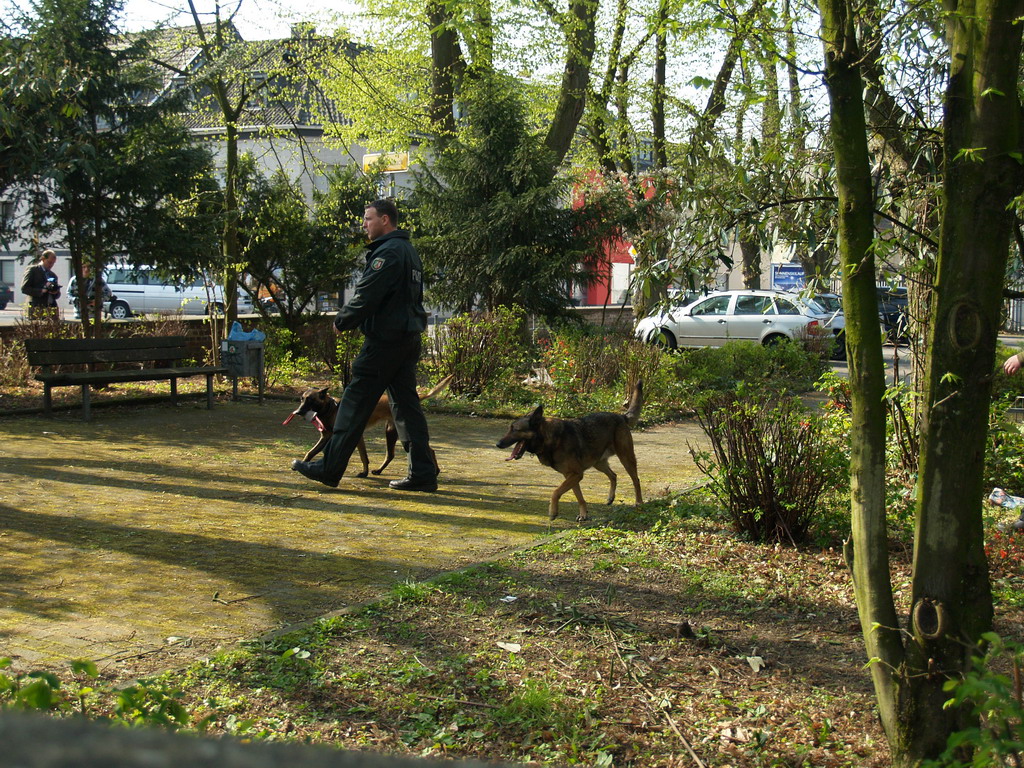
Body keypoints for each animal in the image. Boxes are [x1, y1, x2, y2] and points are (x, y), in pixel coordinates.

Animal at [284, 376, 452, 479]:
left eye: (310, 400)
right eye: (301, 399)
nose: (297, 412)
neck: (331, 409)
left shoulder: (355, 436)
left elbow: (363, 456)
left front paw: (363, 473)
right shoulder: (326, 437)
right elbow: (311, 452)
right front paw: (301, 465)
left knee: (430, 450)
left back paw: (436, 470)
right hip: (391, 433)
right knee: (391, 455)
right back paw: (379, 470)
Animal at [493, 380, 643, 524]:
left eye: (515, 430)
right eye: (510, 428)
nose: (498, 444)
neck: (548, 438)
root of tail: (621, 417)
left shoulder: (576, 475)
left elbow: (555, 492)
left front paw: (553, 512)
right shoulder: (571, 476)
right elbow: (579, 497)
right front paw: (583, 515)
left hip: (626, 458)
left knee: (636, 480)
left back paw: (639, 502)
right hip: (598, 463)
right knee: (613, 475)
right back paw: (611, 498)